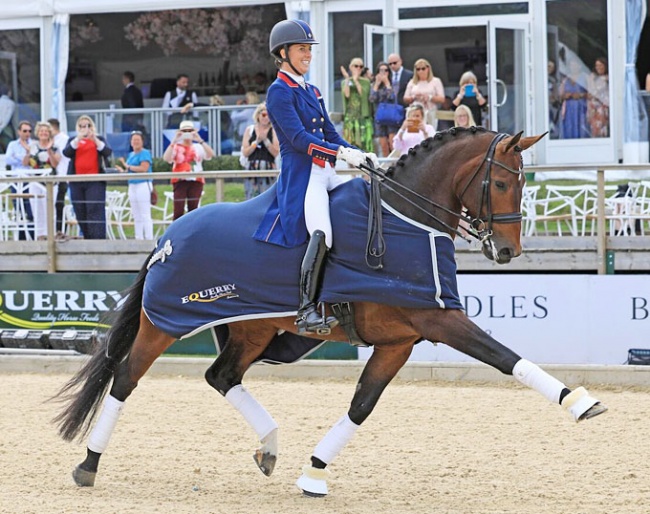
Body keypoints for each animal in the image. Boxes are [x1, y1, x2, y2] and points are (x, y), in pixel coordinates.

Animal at [53, 127, 604, 496]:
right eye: (504, 184)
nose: (508, 251)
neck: (409, 219)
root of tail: (167, 237)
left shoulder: (399, 341)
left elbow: (362, 405)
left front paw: (314, 472)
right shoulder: (439, 321)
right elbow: (504, 356)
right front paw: (579, 402)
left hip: (252, 330)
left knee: (221, 375)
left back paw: (271, 446)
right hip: (165, 322)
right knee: (126, 378)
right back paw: (89, 464)